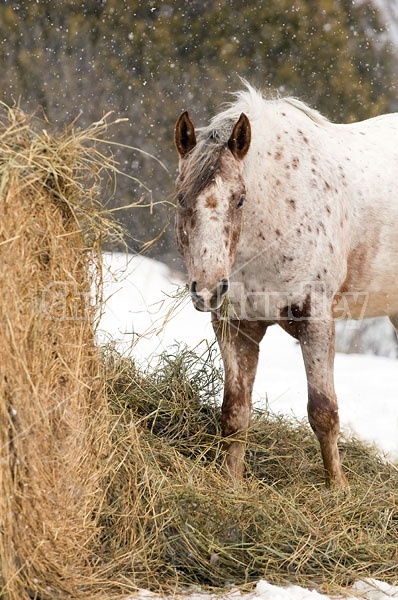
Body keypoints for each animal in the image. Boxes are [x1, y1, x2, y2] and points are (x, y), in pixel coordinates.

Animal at [173, 83, 398, 488]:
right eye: (182, 198)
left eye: (239, 199)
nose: (208, 289)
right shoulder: (236, 325)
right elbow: (235, 413)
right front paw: (231, 484)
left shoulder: (316, 319)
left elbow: (323, 412)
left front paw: (338, 489)